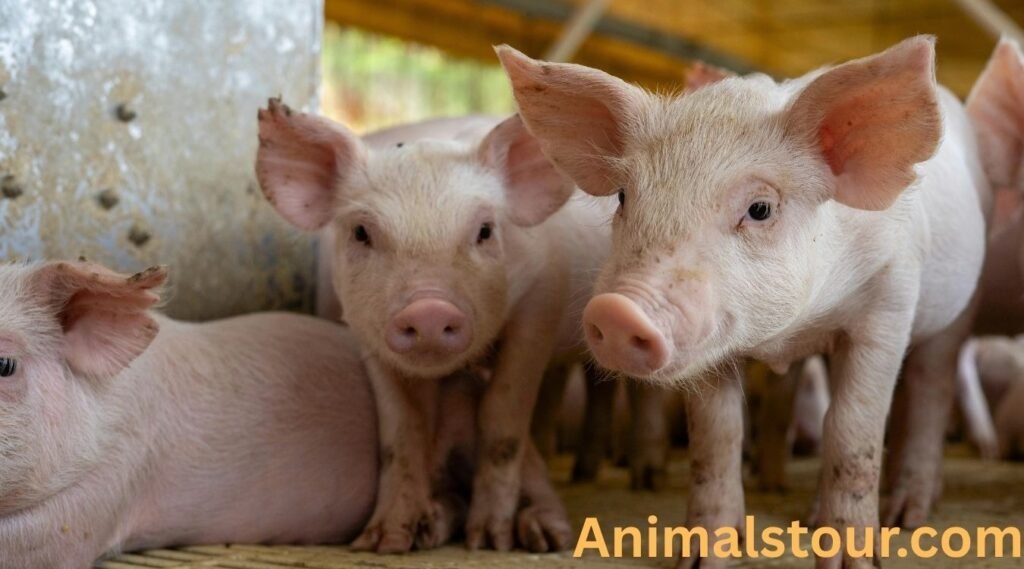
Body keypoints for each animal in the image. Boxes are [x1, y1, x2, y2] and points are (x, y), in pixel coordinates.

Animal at [256, 99, 617, 552]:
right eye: (361, 232)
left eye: (485, 230)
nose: (428, 310)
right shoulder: (365, 333)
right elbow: (402, 431)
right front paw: (384, 541)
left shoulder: (541, 302)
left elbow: (502, 416)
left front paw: (489, 540)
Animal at [499, 35, 988, 568]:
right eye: (625, 197)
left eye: (760, 208)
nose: (617, 310)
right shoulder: (712, 348)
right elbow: (717, 437)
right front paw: (700, 558)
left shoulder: (889, 301)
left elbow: (852, 428)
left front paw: (852, 561)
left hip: (956, 312)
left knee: (929, 391)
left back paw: (907, 514)